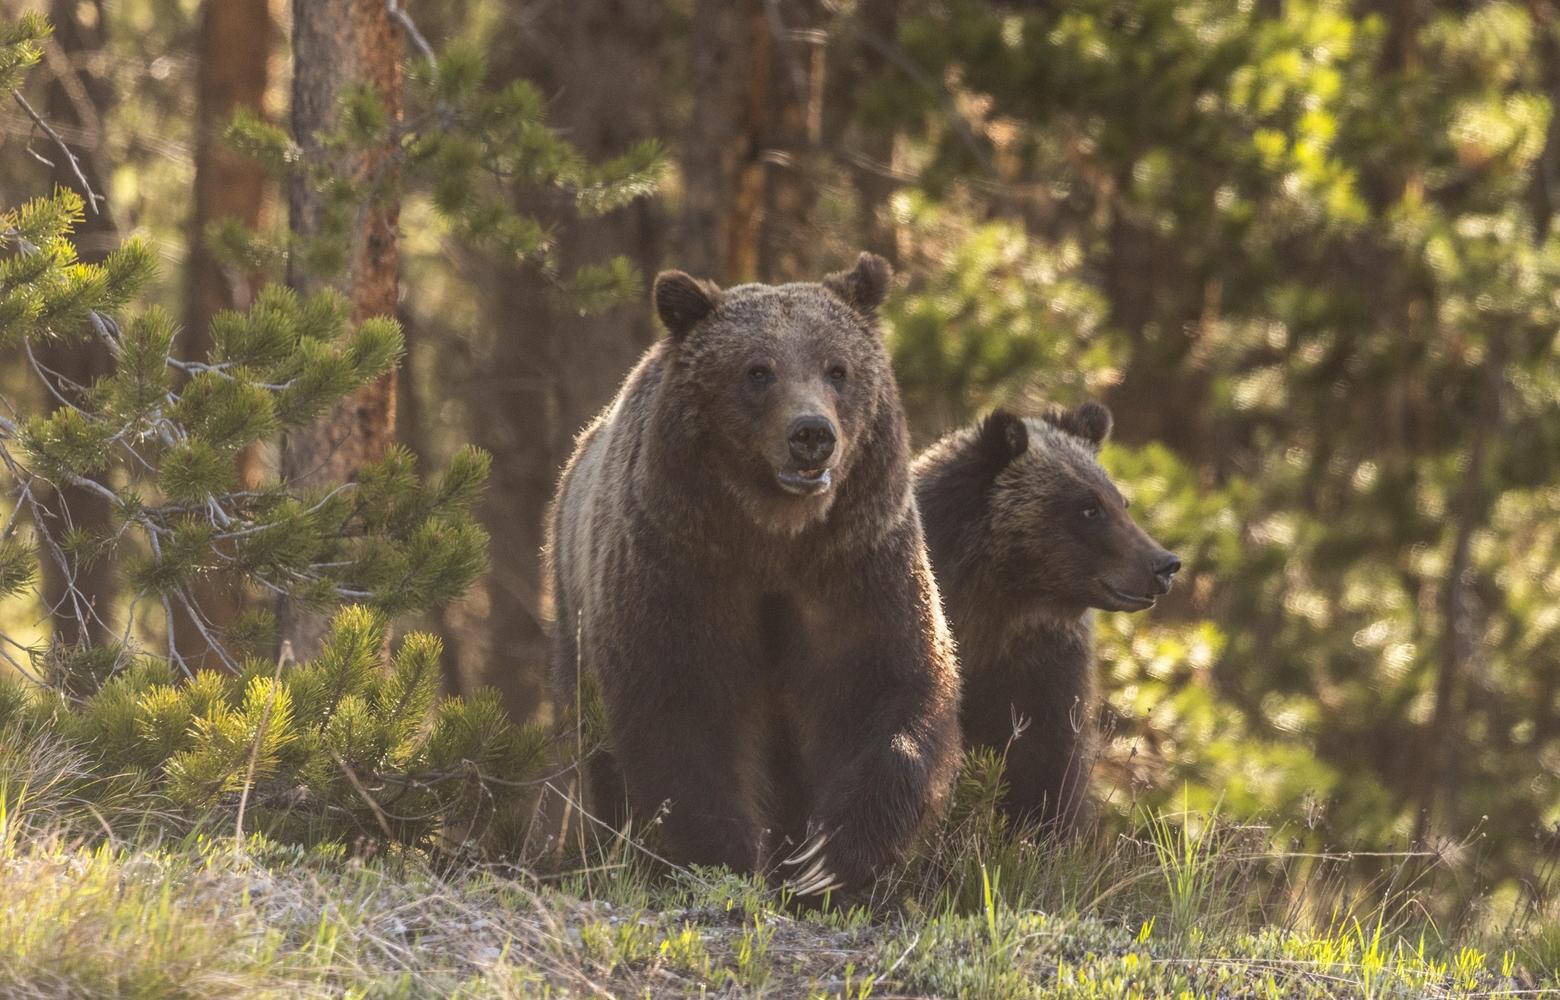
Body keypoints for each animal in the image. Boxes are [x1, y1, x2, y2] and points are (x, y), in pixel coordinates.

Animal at [549, 252, 960, 892]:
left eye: (837, 368)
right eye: (757, 371)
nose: (811, 434)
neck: (774, 535)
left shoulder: (855, 568)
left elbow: (887, 686)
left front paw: (825, 861)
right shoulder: (679, 570)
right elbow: (681, 712)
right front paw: (728, 856)